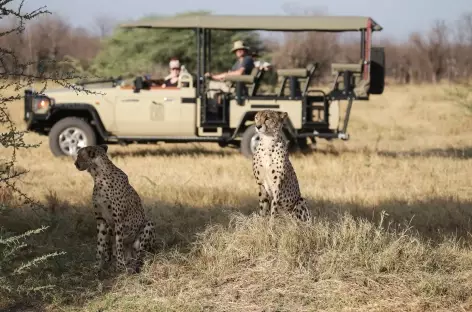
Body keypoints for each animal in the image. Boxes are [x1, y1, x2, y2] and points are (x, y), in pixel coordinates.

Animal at [73, 144, 156, 272]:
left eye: (79, 155)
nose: (75, 163)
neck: (98, 176)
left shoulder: (118, 221)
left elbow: (119, 243)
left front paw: (120, 266)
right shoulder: (101, 220)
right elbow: (100, 245)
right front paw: (97, 266)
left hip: (148, 226)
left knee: (140, 254)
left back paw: (134, 265)